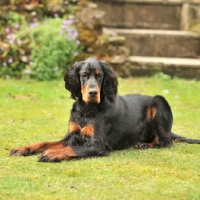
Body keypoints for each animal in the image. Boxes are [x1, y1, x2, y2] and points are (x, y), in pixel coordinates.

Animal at [10, 57, 200, 161]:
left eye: (99, 75)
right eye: (84, 75)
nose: (93, 92)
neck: (87, 109)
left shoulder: (97, 143)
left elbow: (71, 149)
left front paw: (51, 154)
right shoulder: (72, 136)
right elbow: (45, 142)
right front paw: (23, 149)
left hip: (159, 101)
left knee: (165, 141)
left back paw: (145, 145)